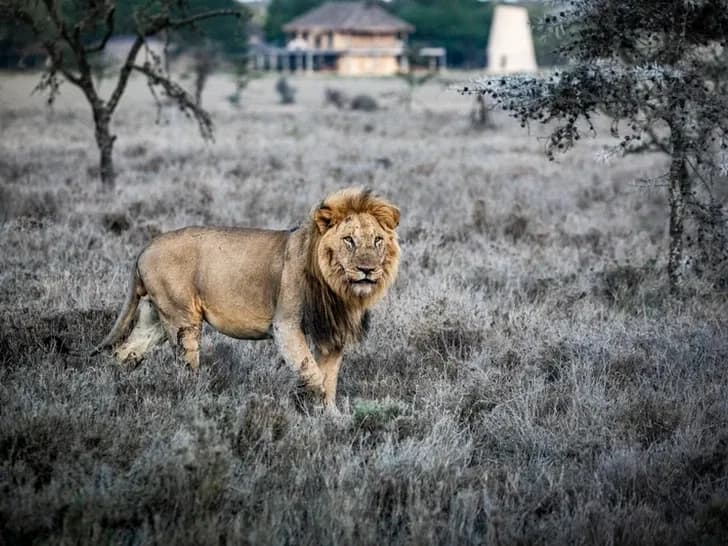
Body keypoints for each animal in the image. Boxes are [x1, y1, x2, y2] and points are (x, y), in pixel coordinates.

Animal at [93, 187, 400, 404]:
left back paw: (112, 389)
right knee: (185, 367)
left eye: (377, 241)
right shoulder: (286, 324)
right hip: (183, 319)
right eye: (349, 240)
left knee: (124, 352)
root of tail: (146, 247)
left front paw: (332, 418)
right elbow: (313, 375)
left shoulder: (332, 331)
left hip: (154, 318)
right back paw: (195, 399)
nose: (367, 270)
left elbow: (329, 378)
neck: (338, 288)